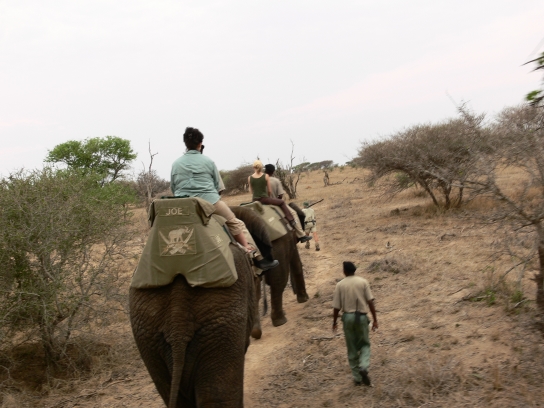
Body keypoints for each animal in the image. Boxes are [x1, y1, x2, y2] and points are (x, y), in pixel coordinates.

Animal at [231, 205, 309, 335]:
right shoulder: (283, 241)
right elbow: (285, 272)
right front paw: (304, 300)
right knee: (278, 280)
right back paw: (279, 321)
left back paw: (256, 332)